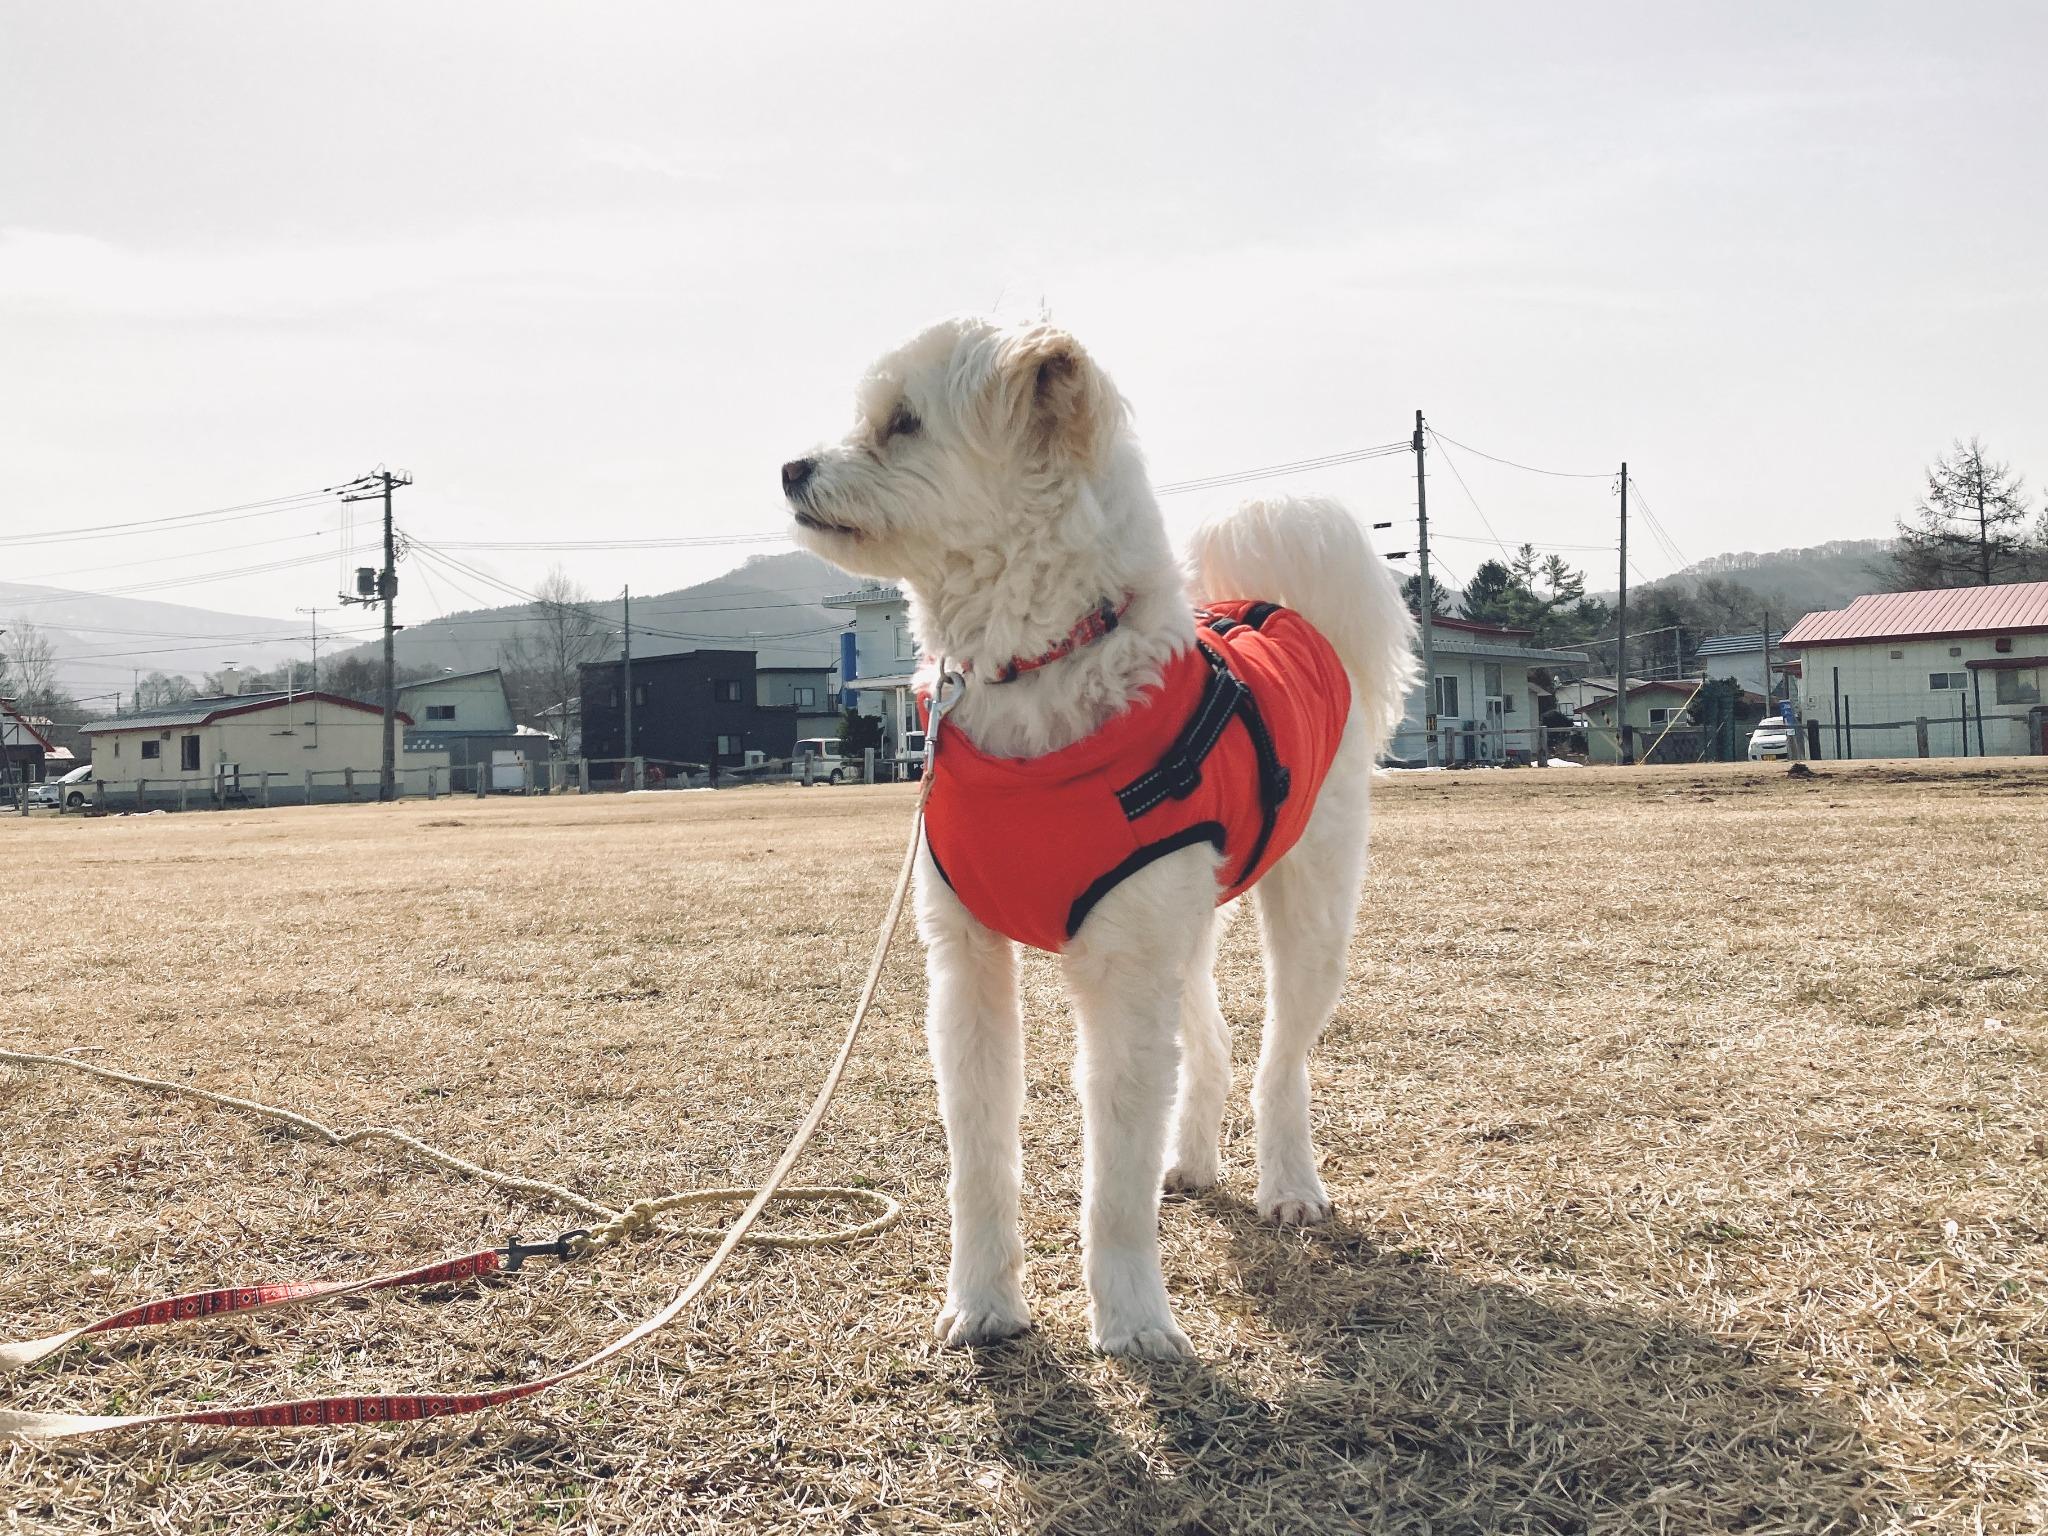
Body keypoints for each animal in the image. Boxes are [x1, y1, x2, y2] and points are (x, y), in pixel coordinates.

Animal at [786, 315, 1425, 1359]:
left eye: (904, 423)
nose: (790, 469)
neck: (1032, 674)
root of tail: (1281, 610)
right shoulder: (969, 966)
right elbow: (980, 1159)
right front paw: (983, 1305)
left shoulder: (1122, 979)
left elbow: (1114, 1180)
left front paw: (1132, 1321)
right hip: (1185, 923)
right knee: (1207, 1040)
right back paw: (1194, 1159)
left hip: (1309, 915)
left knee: (1279, 1058)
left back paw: (1288, 1184)